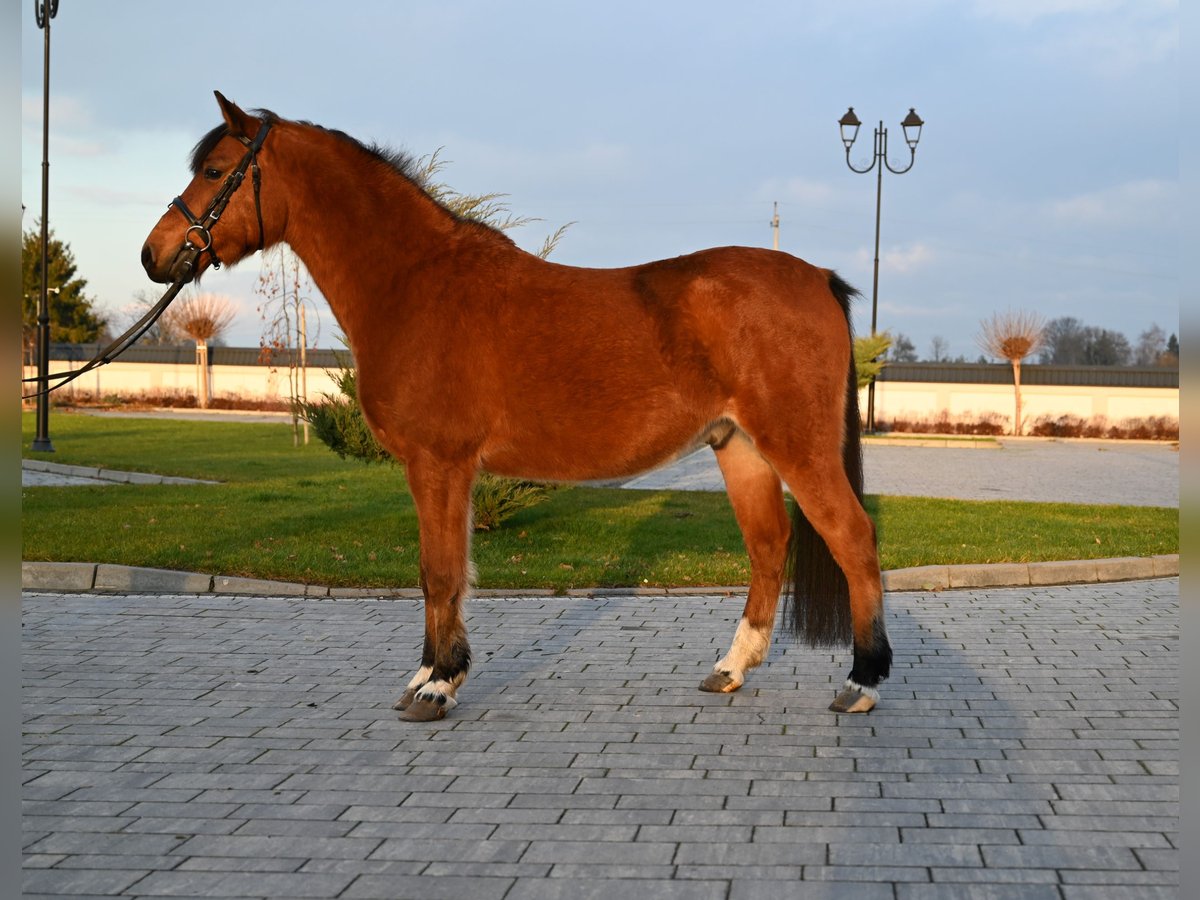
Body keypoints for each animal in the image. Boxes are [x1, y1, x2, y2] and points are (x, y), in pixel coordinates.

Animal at [142, 93, 892, 724]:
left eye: (215, 169)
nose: (154, 255)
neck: (414, 284)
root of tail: (818, 279)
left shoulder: (439, 462)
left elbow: (440, 571)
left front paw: (438, 685)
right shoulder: (444, 468)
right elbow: (442, 570)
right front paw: (429, 675)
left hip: (797, 446)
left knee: (852, 538)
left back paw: (861, 681)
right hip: (738, 446)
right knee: (769, 546)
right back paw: (731, 668)